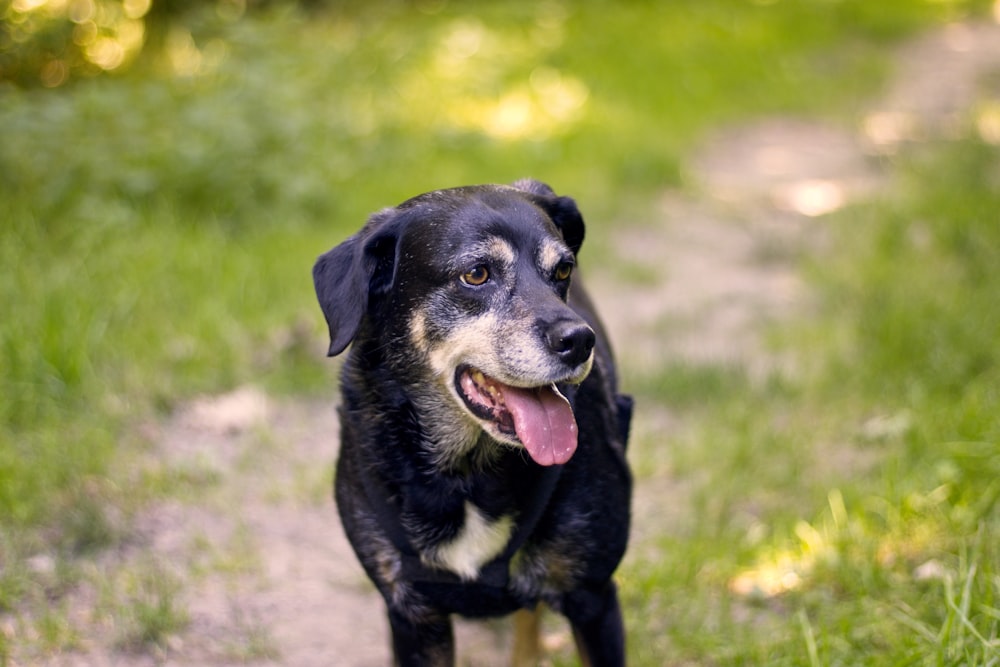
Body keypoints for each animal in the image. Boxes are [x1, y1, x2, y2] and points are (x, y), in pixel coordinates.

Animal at [312, 179, 632, 667]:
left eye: (562, 270)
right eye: (477, 274)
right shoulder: (413, 615)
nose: (579, 341)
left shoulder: (592, 598)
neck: (466, 471)